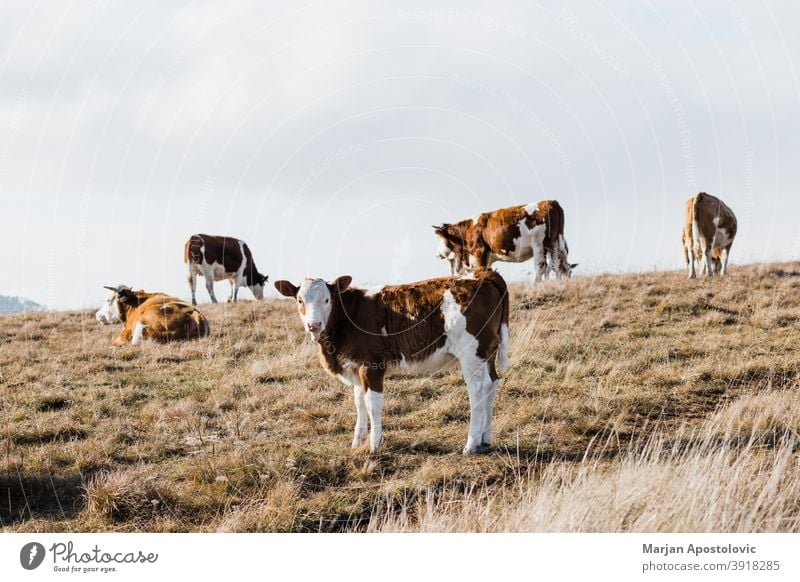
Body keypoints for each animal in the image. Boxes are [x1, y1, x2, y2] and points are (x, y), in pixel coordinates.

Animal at [272, 270, 510, 456]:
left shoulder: (371, 366)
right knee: (491, 384)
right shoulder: (355, 367)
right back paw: (485, 439)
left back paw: (471, 444)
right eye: (300, 300)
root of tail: (483, 274)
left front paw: (375, 444)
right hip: (486, 352)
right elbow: (359, 403)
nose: (314, 325)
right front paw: (357, 442)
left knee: (477, 390)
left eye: (327, 300)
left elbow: (372, 404)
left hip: (471, 352)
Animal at [432, 201, 576, 282]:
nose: (436, 254)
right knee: (556, 266)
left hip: (539, 244)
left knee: (541, 267)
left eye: (439, 239)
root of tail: (551, 202)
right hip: (555, 243)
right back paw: (557, 286)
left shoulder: (480, 252)